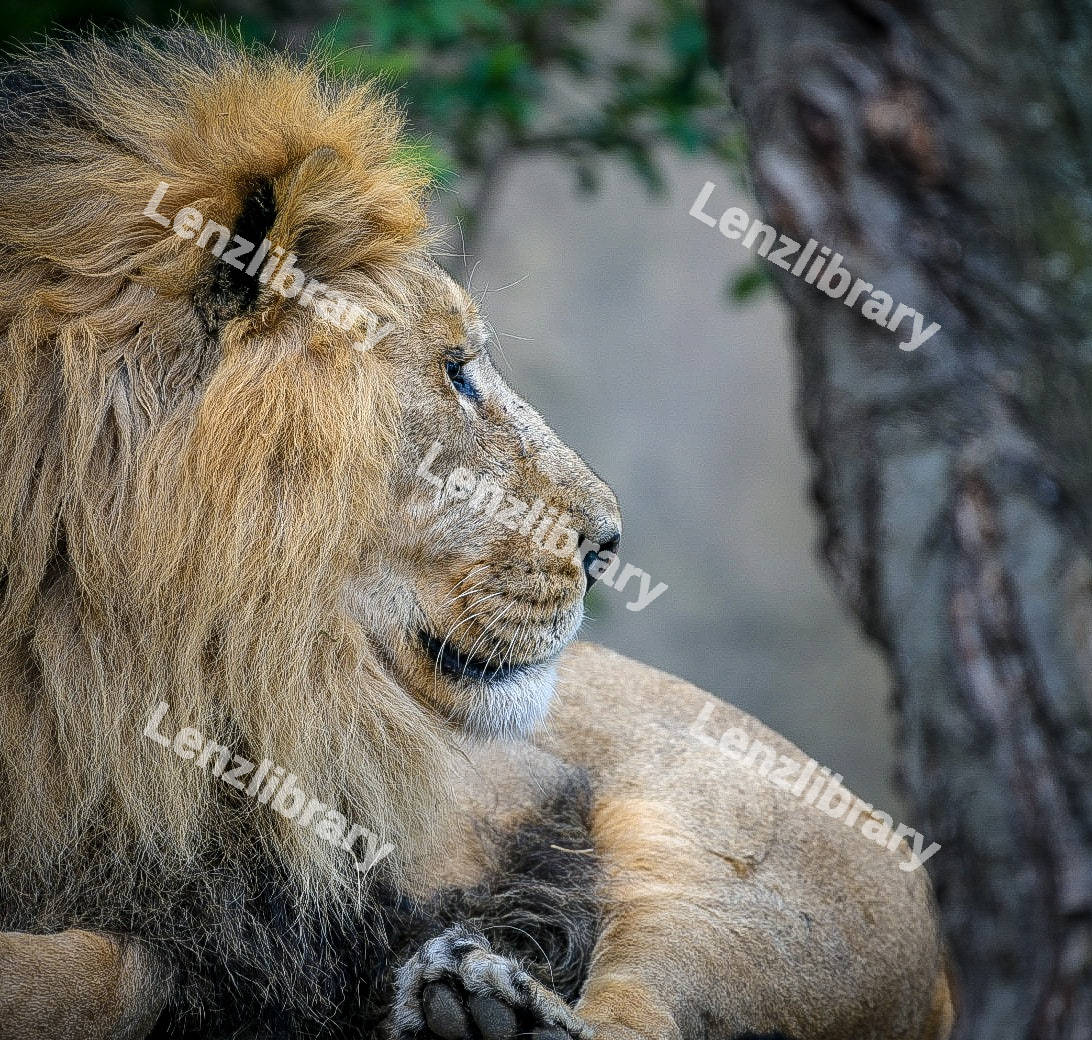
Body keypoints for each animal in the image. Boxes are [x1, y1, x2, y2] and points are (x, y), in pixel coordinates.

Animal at [0, 27, 953, 1040]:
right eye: (457, 372)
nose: (610, 544)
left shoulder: (265, 919)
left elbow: (86, 969)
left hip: (736, 856)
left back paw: (494, 1007)